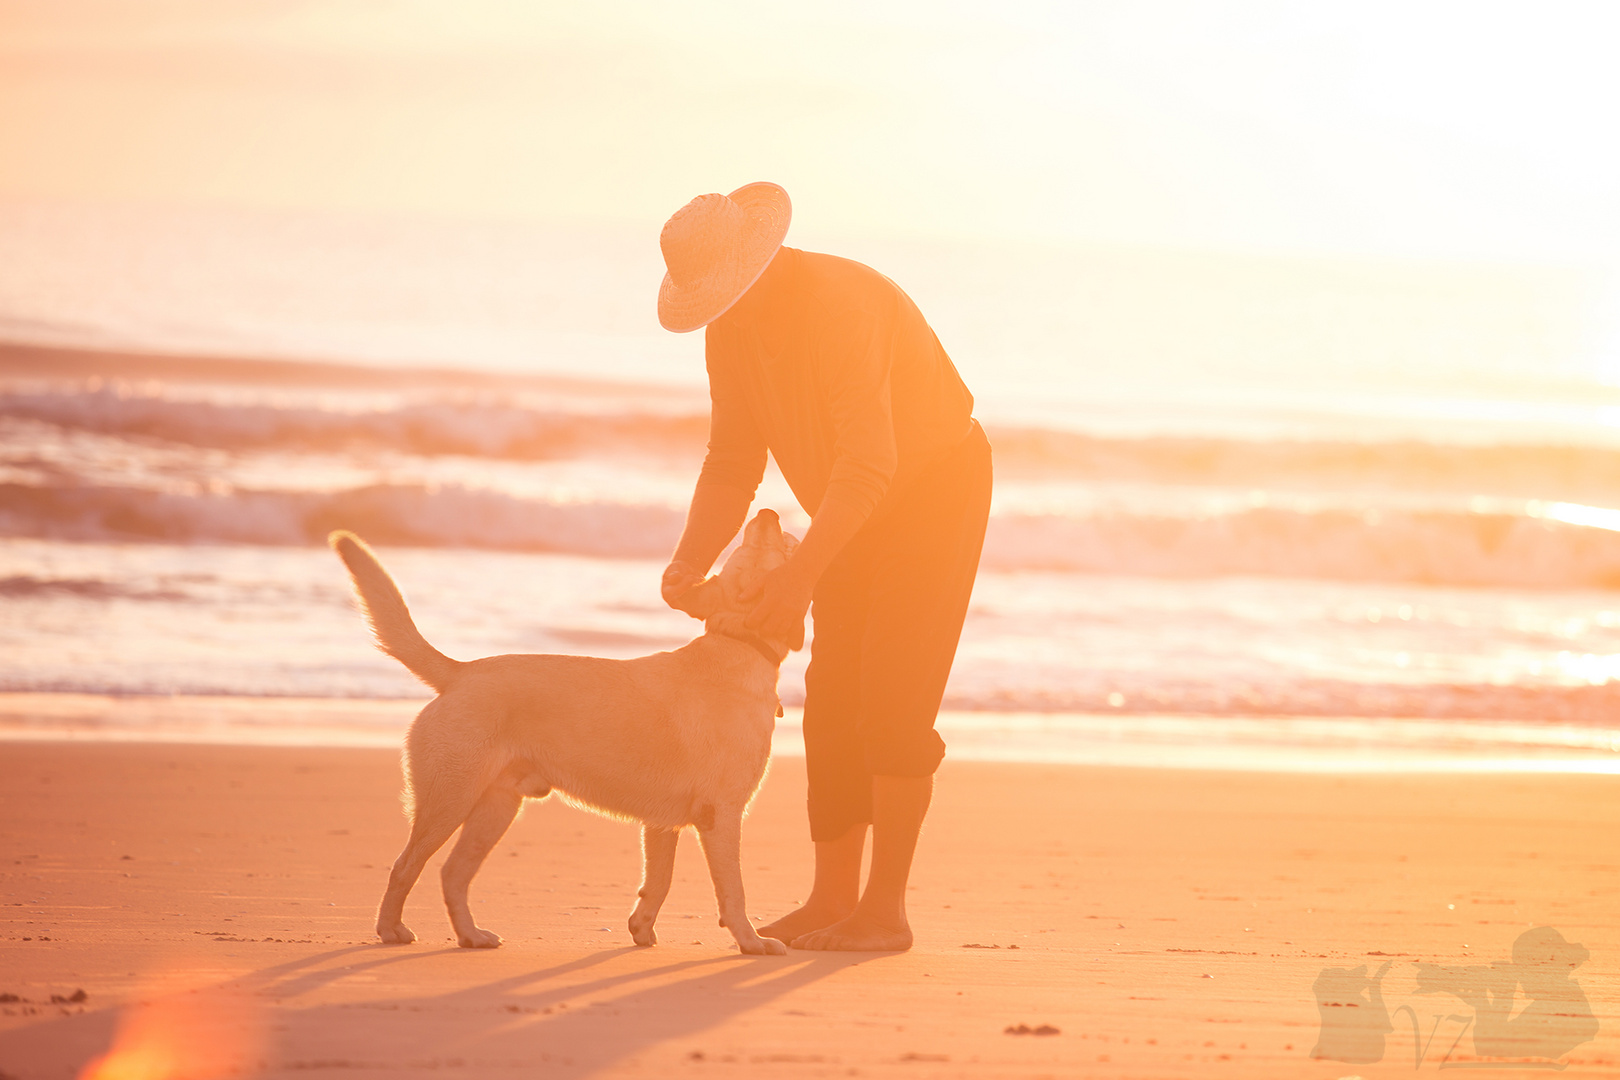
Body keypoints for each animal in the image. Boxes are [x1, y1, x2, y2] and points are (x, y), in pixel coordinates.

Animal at [332, 511, 800, 958]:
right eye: (775, 546)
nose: (766, 513)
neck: (739, 643)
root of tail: (460, 672)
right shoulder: (721, 816)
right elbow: (733, 892)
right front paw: (751, 941)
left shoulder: (661, 824)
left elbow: (659, 881)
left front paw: (642, 928)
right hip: (449, 799)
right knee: (405, 865)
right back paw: (391, 928)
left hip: (495, 808)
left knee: (452, 874)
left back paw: (470, 935)